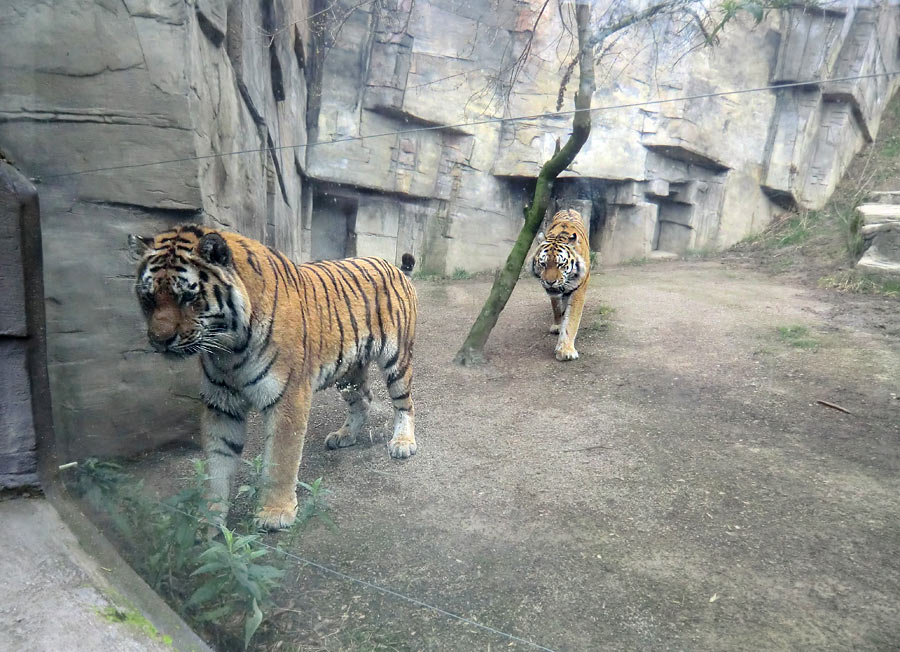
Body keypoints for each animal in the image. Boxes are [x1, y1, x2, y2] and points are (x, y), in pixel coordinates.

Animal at [127, 224, 418, 528]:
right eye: (148, 298)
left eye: (187, 297)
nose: (160, 341)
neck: (227, 349)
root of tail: (394, 266)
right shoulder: (221, 404)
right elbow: (217, 463)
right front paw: (209, 519)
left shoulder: (288, 396)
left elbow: (281, 458)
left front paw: (275, 513)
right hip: (348, 371)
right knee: (363, 399)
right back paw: (344, 436)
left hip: (396, 359)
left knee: (406, 404)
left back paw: (403, 443)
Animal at [532, 209, 596, 362]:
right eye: (543, 264)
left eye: (560, 264)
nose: (550, 282)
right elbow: (558, 309)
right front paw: (559, 328)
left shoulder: (578, 290)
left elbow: (571, 319)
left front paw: (566, 350)